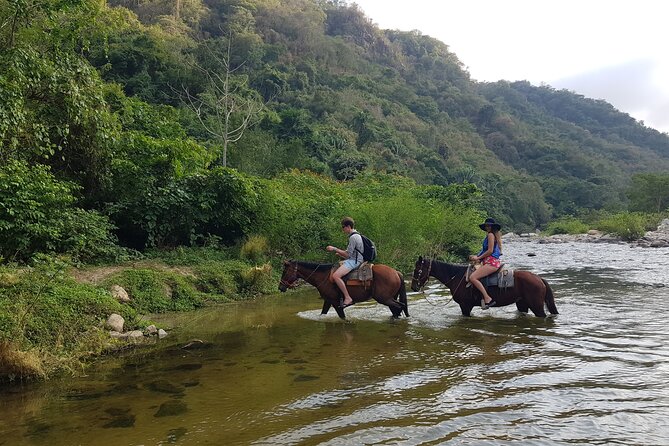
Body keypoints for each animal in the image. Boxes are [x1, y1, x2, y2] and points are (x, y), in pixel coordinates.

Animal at [276, 260, 408, 318]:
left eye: (285, 271)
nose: (280, 287)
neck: (323, 276)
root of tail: (396, 272)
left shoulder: (335, 303)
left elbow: (343, 317)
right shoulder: (328, 301)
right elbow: (323, 313)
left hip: (384, 298)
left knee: (400, 306)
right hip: (389, 298)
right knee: (397, 309)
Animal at [408, 254, 560, 318]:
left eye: (417, 270)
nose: (414, 287)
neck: (456, 277)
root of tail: (539, 278)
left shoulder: (465, 306)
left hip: (537, 306)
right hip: (522, 304)